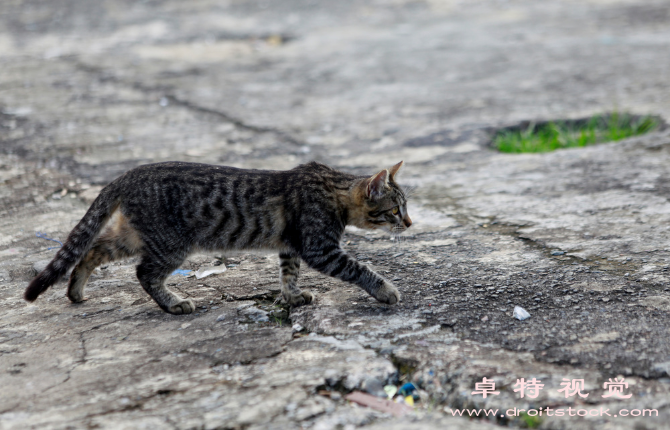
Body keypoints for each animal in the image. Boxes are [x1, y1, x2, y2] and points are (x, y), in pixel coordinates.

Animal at [23, 160, 412, 314]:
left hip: (134, 235)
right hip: (170, 244)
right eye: (395, 210)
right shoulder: (320, 248)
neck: (334, 190)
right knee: (143, 273)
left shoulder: (291, 247)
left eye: (405, 207)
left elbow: (288, 273)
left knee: (92, 250)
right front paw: (385, 290)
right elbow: (359, 269)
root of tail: (130, 173)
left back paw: (76, 291)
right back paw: (173, 304)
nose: (409, 223)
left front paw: (291, 296)